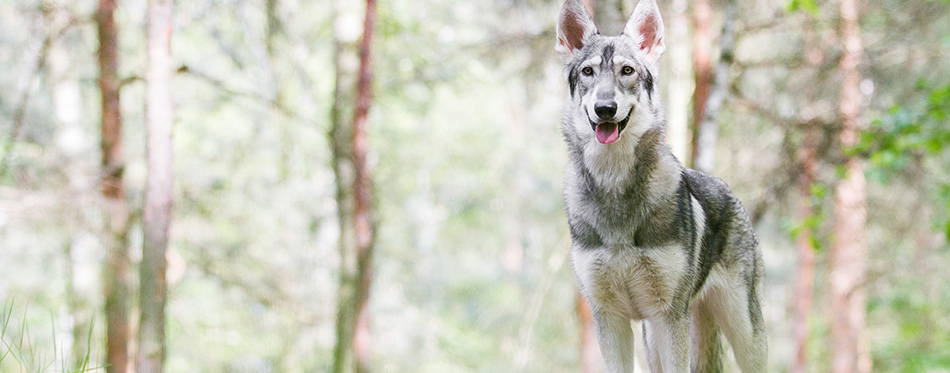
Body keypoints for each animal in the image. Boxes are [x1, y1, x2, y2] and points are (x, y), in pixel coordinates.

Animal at [556, 0, 768, 370]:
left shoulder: (668, 316)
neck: (614, 184)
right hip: (656, 337)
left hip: (741, 334)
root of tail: (726, 189)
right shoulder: (610, 319)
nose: (605, 108)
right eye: (588, 72)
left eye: (627, 71)